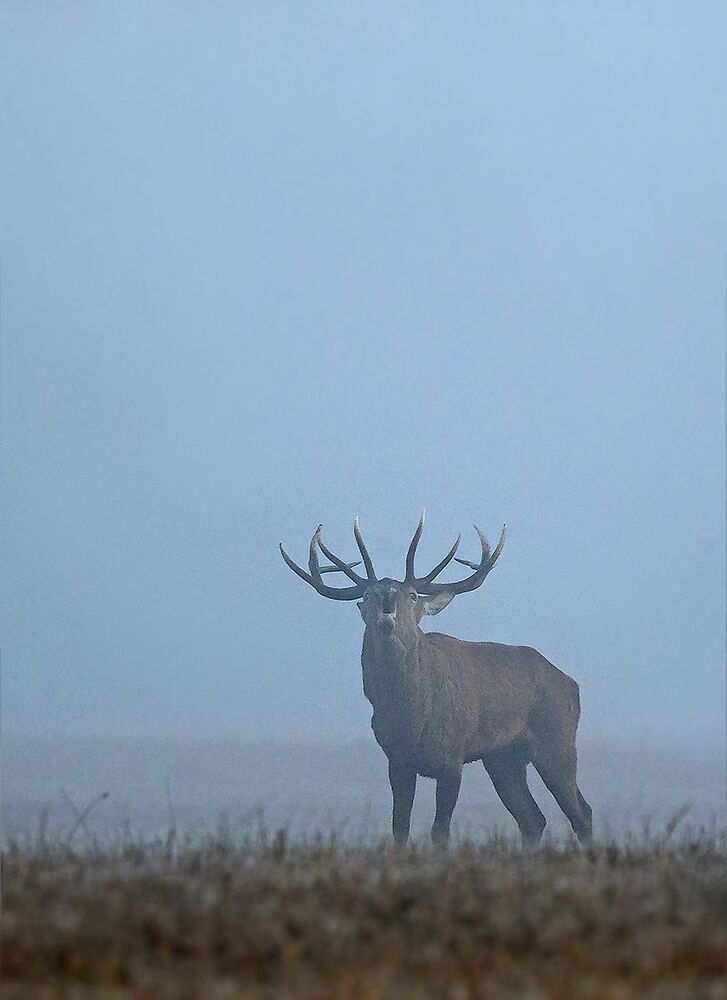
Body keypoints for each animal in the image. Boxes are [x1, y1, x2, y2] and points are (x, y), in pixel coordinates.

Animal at [280, 513, 592, 848]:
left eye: (412, 595)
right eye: (368, 594)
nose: (387, 603)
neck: (411, 716)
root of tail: (571, 684)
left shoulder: (452, 757)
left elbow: (440, 831)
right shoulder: (396, 760)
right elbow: (399, 827)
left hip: (556, 738)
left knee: (580, 812)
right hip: (503, 757)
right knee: (532, 818)